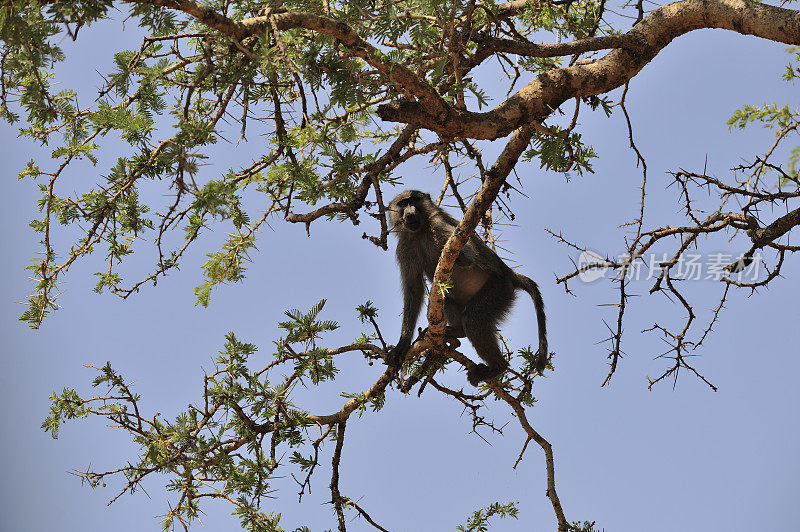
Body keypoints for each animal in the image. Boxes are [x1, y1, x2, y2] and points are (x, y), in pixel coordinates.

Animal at [384, 189, 548, 384]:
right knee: (445, 299)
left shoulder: (440, 225)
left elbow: (467, 254)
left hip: (499, 289)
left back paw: (497, 367)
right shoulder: (404, 248)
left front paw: (461, 255)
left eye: (414, 200)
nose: (410, 214)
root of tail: (509, 273)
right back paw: (457, 331)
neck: (420, 232)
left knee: (473, 320)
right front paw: (402, 345)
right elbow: (414, 289)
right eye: (403, 204)